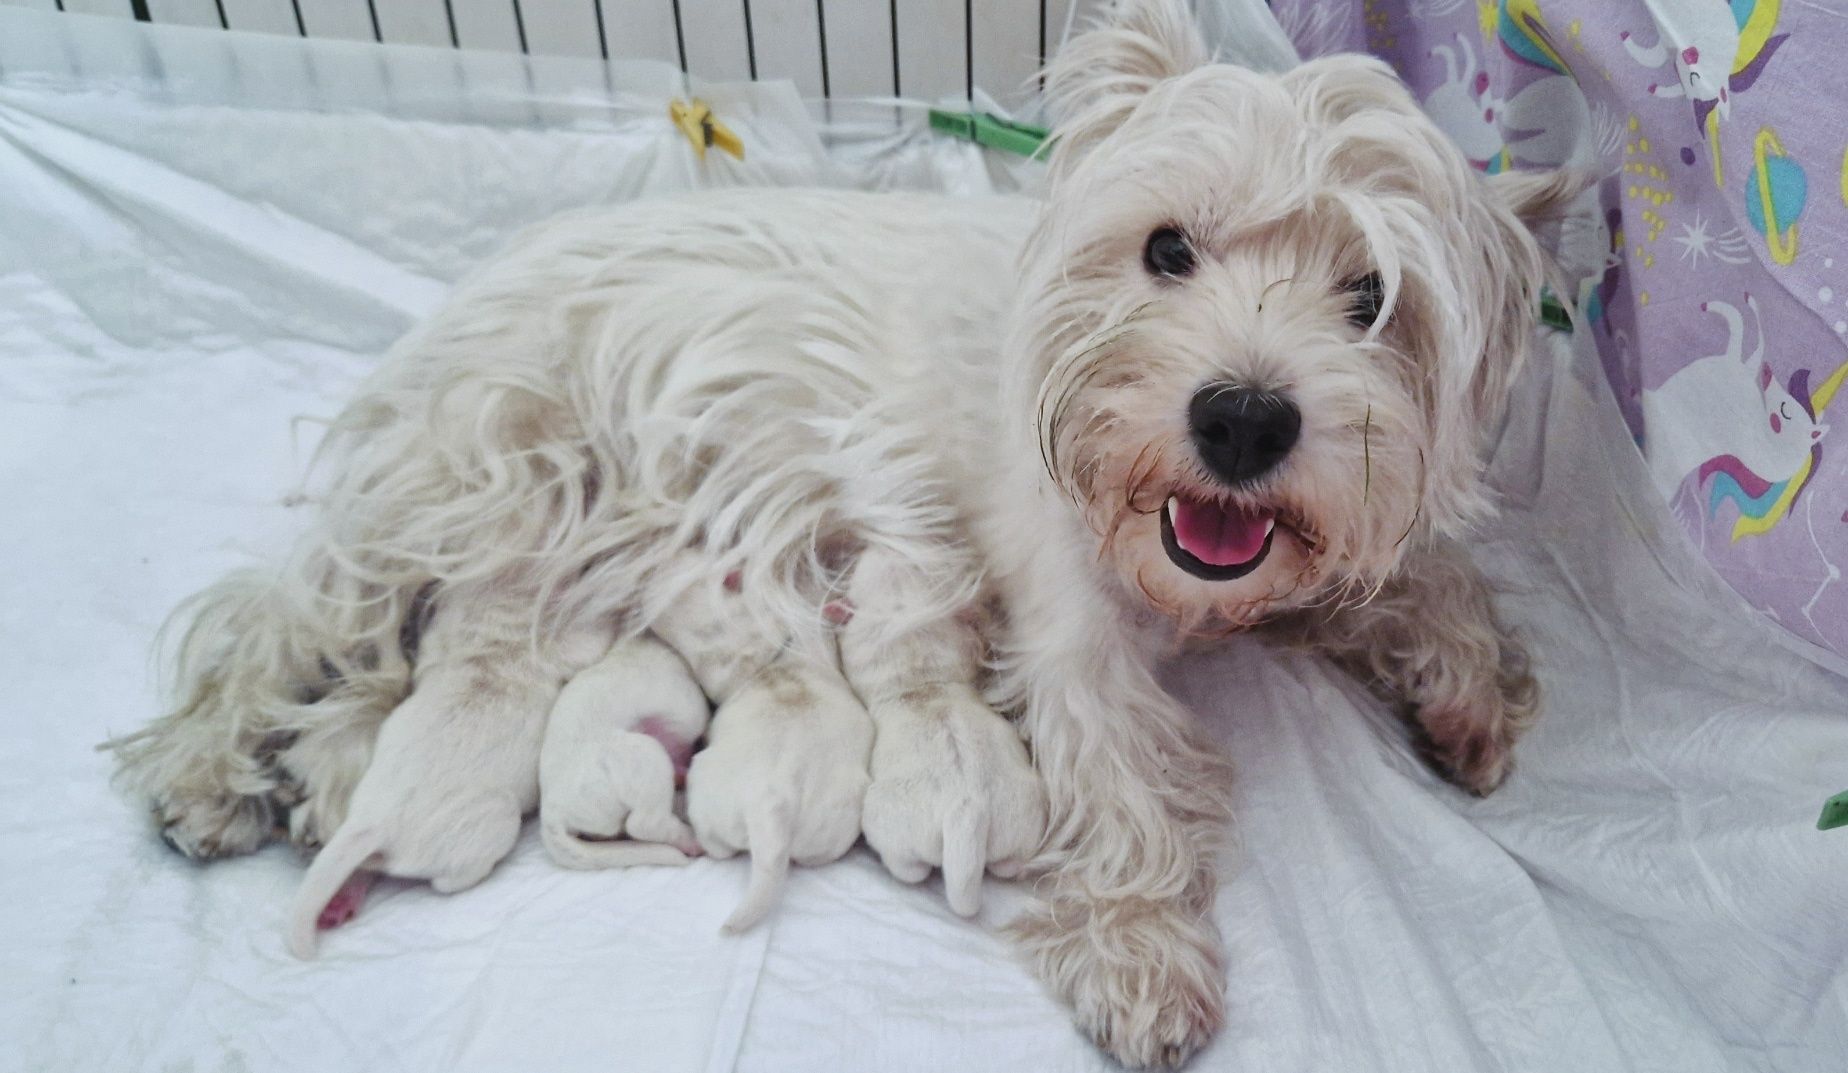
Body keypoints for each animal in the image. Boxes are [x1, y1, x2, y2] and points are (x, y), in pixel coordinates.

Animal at [284, 579, 609, 960]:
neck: (490, 639)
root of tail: (373, 823)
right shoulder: (556, 646)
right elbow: (589, 641)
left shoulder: (445, 635)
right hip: (489, 824)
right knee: (448, 880)